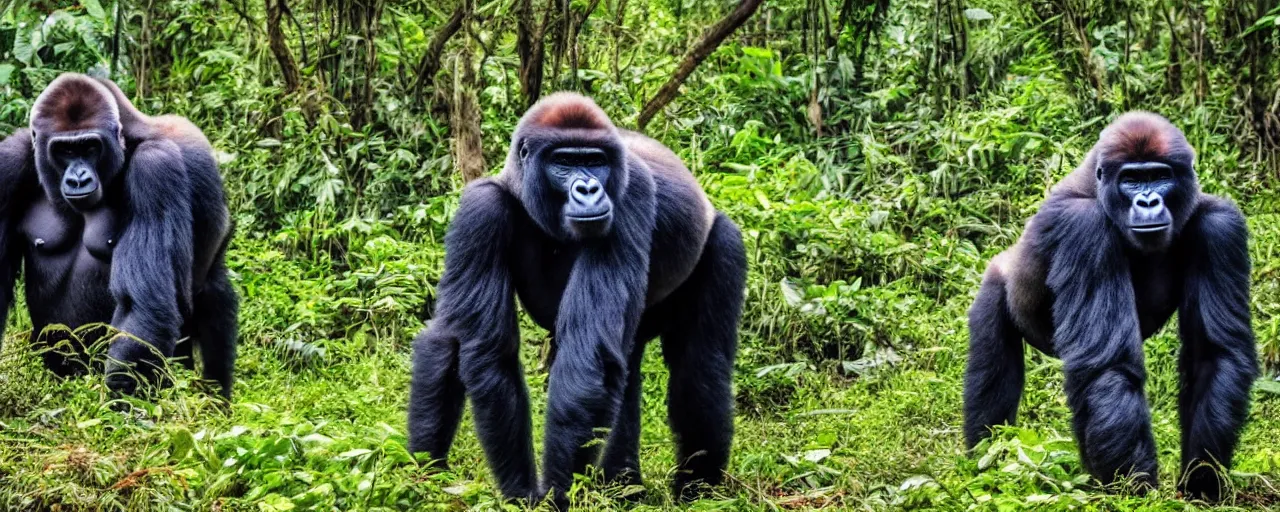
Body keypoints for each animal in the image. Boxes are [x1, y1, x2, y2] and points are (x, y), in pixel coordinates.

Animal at [0, 73, 238, 396]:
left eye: (90, 147)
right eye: (64, 151)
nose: (78, 179)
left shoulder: (155, 167)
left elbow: (141, 307)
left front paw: (121, 402)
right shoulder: (7, 164)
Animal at [409, 90, 747, 504]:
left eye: (595, 162)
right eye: (565, 162)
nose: (588, 189)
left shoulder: (629, 193)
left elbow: (589, 359)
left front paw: (554, 493)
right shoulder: (480, 209)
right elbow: (463, 341)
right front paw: (427, 476)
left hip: (722, 235)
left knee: (700, 364)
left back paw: (697, 489)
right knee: (630, 366)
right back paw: (622, 485)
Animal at [962, 112, 1254, 499]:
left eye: (1159, 176)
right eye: (1131, 180)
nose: (1148, 202)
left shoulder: (1220, 225)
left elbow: (1214, 355)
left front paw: (1200, 480)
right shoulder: (1083, 225)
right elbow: (1107, 365)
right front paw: (1135, 489)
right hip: (996, 282)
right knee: (993, 364)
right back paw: (989, 467)